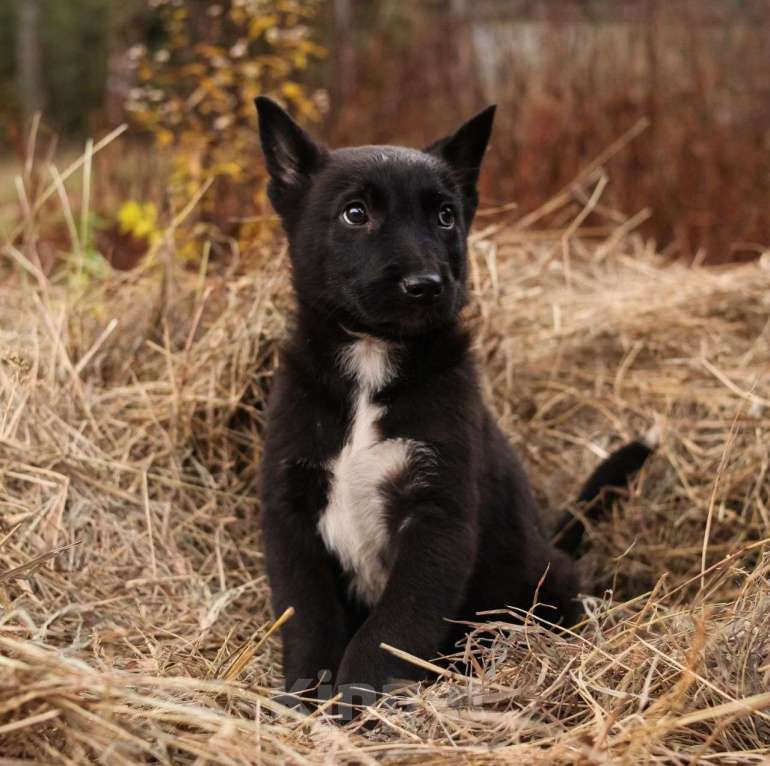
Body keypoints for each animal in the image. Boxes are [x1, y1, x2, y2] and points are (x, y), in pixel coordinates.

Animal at [256, 97, 648, 712]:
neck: (371, 364)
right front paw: (306, 698)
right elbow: (309, 618)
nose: (426, 285)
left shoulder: (437, 518)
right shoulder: (291, 509)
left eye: (445, 216)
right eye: (354, 213)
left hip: (542, 580)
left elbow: (390, 628)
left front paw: (358, 703)